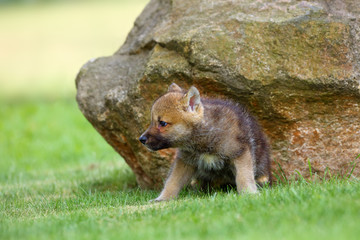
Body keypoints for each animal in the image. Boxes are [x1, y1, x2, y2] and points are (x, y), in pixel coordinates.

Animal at [139, 83, 272, 202]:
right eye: (152, 121)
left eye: (162, 123)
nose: (141, 139)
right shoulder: (185, 160)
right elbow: (172, 181)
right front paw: (163, 198)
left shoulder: (240, 153)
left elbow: (244, 176)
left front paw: (249, 194)